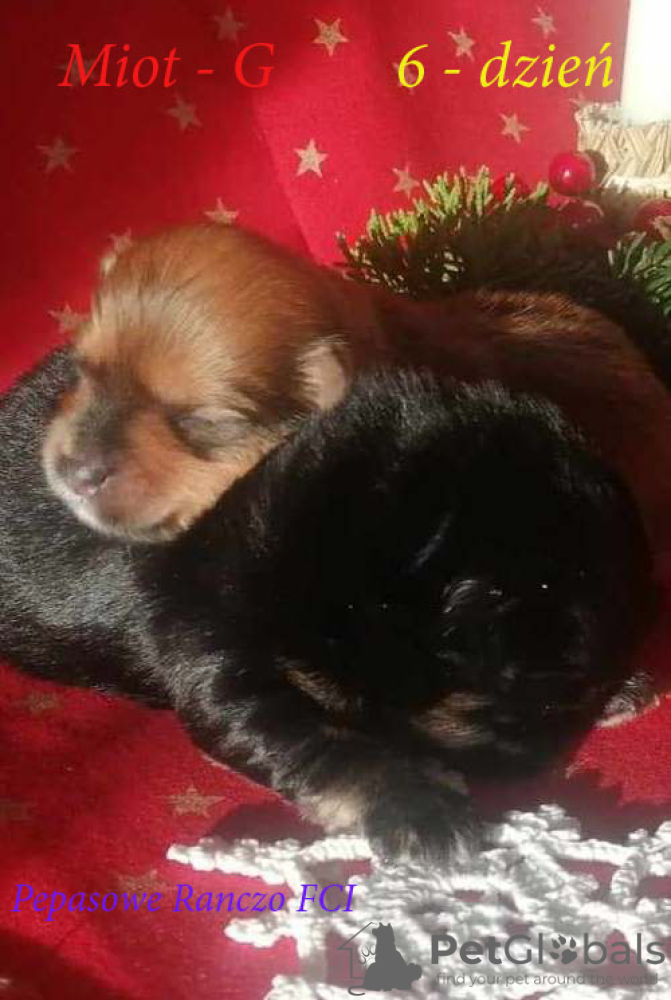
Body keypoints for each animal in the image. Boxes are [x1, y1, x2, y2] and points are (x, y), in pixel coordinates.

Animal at [1, 354, 656, 859]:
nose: (540, 766)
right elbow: (321, 740)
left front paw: (628, 688)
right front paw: (422, 808)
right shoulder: (215, 651)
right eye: (534, 707)